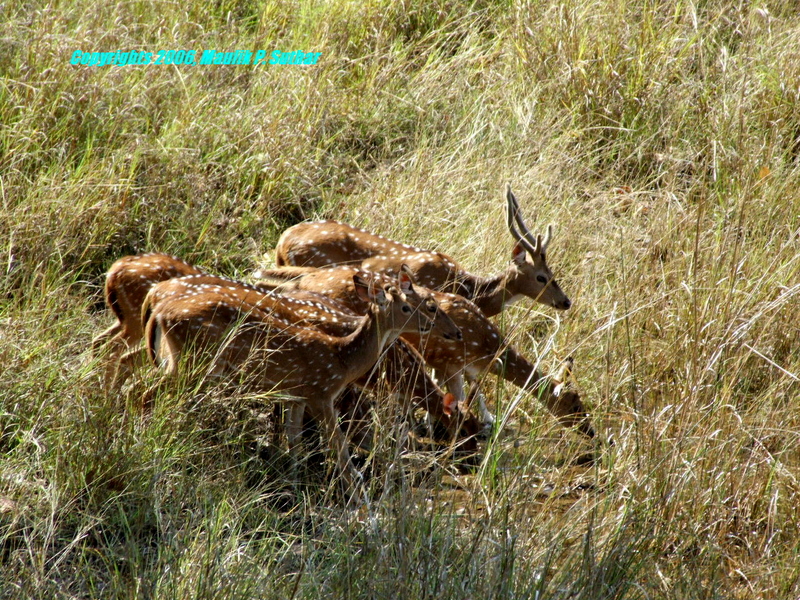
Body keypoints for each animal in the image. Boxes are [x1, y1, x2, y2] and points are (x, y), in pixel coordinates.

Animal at [139, 270, 438, 494]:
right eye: (407, 307)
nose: (428, 324)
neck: (342, 358)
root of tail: (160, 312)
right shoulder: (321, 393)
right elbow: (339, 448)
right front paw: (357, 496)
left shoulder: (297, 395)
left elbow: (294, 440)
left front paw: (293, 482)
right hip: (194, 362)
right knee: (147, 393)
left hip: (177, 362)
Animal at [256, 264, 592, 438]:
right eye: (575, 403)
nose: (590, 432)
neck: (488, 348)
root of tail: (298, 282)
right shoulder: (449, 362)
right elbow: (454, 399)